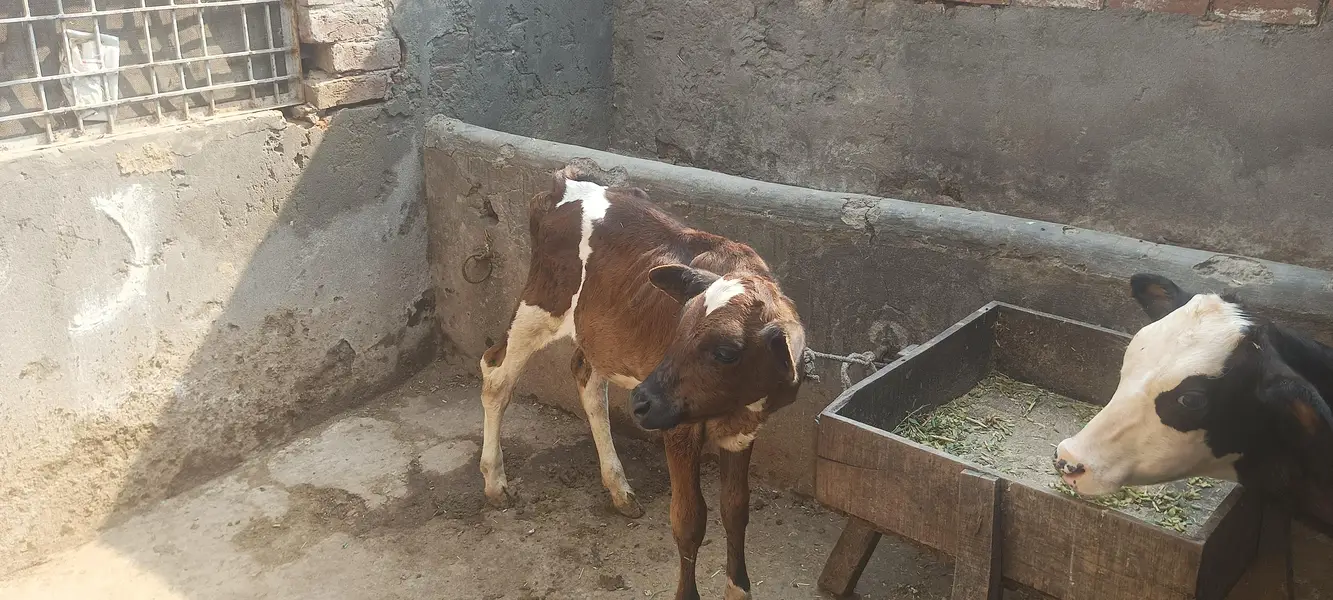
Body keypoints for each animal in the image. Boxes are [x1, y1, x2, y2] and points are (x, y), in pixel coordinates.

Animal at [477, 166, 807, 600]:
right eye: (679, 327)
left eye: (726, 352)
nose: (642, 401)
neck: (733, 407)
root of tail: (567, 181)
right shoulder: (679, 429)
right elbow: (689, 520)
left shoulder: (744, 430)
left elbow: (736, 510)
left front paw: (739, 590)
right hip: (540, 304)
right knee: (496, 375)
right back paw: (495, 481)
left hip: (597, 328)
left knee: (586, 379)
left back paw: (619, 488)